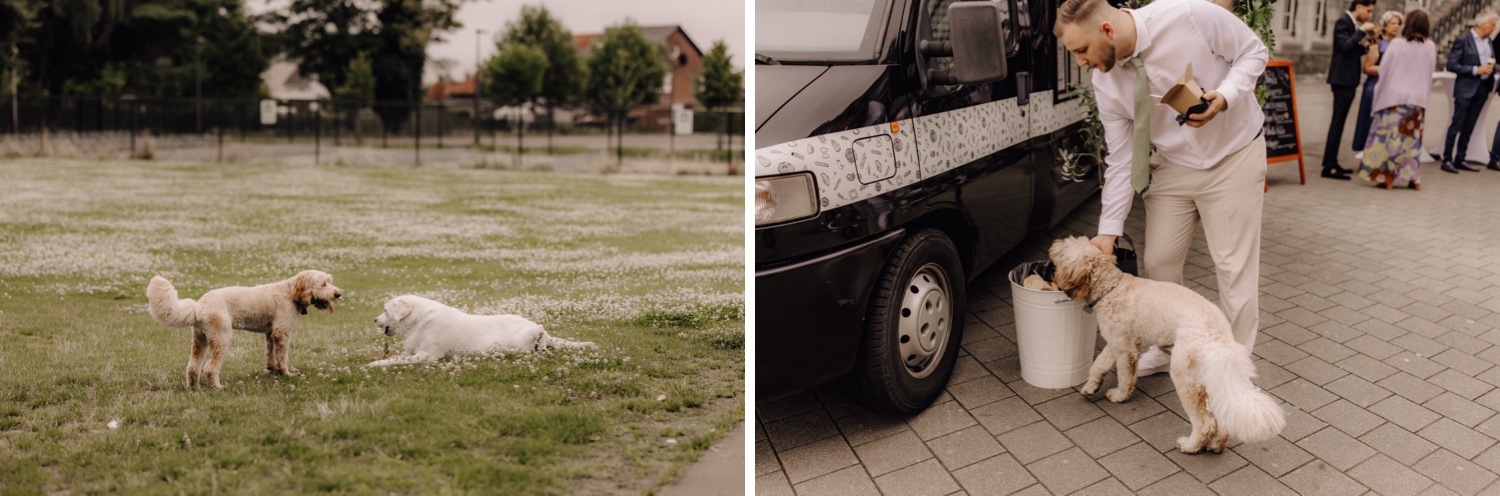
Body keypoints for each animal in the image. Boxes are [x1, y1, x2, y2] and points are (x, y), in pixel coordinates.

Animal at [147, 269, 343, 389]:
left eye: (329, 281)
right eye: (323, 284)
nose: (338, 294)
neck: (291, 293)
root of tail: (198, 306)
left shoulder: (270, 334)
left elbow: (270, 356)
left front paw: (272, 372)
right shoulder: (282, 333)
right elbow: (282, 357)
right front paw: (286, 373)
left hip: (199, 339)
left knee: (193, 366)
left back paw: (194, 387)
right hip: (221, 338)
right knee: (210, 368)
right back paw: (217, 387)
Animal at [366, 295, 594, 368]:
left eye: (385, 310)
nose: (374, 319)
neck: (419, 321)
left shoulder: (426, 356)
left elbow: (392, 360)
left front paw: (373, 364)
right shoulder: (412, 351)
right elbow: (397, 356)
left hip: (519, 344)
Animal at [1050, 238, 1284, 455]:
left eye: (1063, 250)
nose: (1054, 244)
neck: (1111, 288)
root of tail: (1217, 337)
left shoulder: (1125, 350)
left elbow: (1125, 377)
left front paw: (1119, 396)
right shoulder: (1117, 342)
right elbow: (1098, 365)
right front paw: (1091, 387)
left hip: (1185, 378)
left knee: (1205, 423)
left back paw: (1190, 446)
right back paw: (1217, 444)